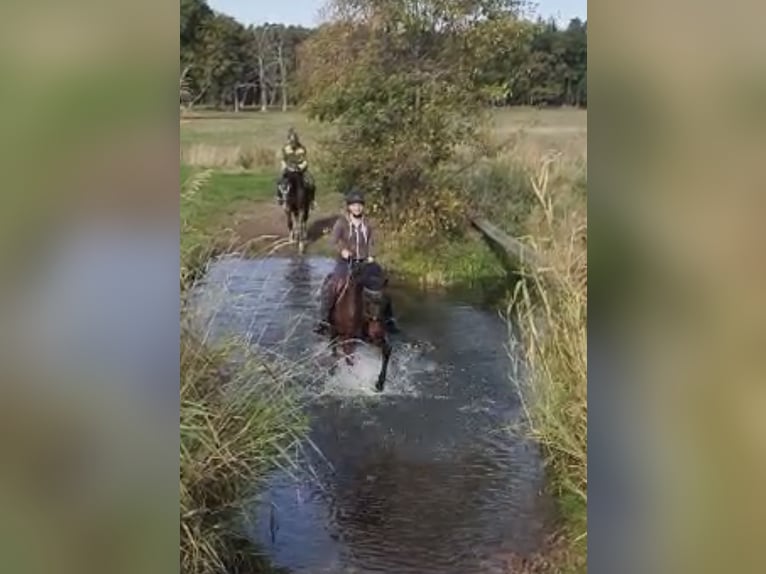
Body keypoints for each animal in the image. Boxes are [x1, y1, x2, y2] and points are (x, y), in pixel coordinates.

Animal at [326, 260, 392, 392]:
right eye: (366, 300)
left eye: (385, 303)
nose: (377, 331)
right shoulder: (348, 337)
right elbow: (349, 358)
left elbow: (387, 350)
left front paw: (380, 383)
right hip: (334, 330)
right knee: (334, 345)